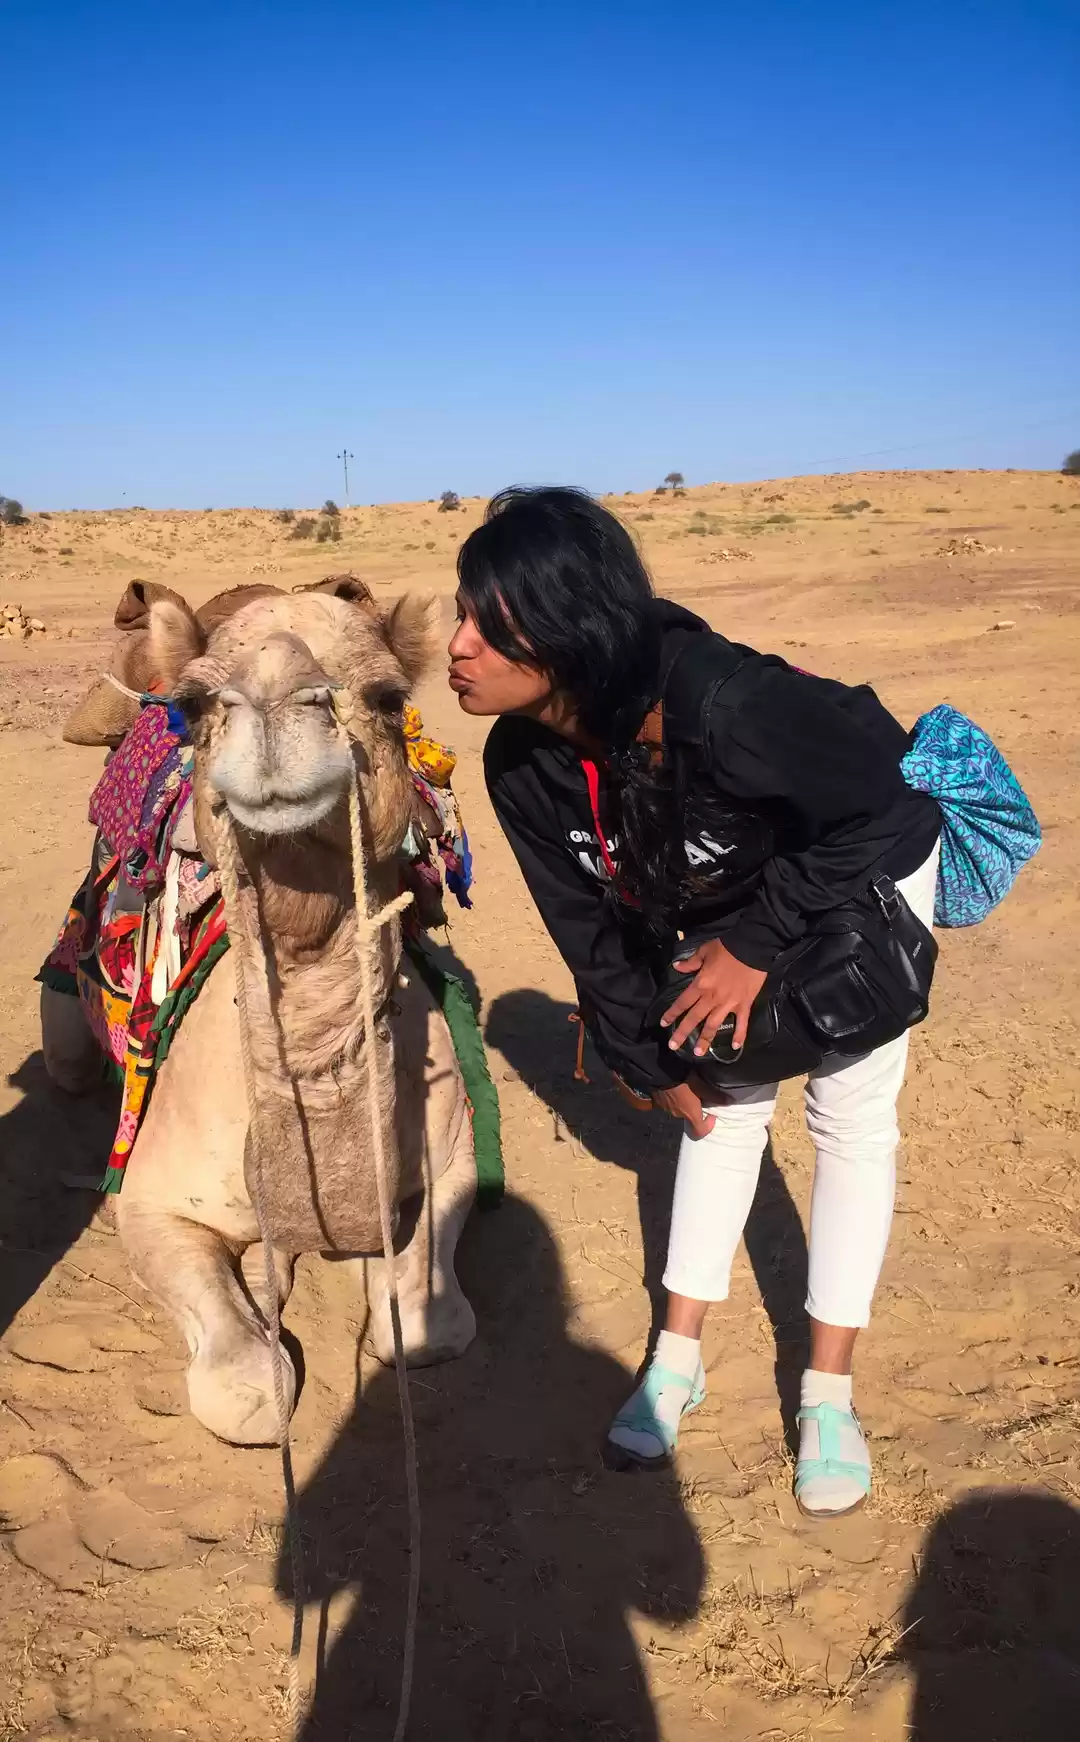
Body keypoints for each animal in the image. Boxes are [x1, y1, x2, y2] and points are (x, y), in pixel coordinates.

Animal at [41, 582, 478, 1445]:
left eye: (388, 696)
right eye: (197, 702)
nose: (275, 699)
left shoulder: (455, 1160)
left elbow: (428, 1324)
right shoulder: (148, 1201)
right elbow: (245, 1391)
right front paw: (265, 1277)